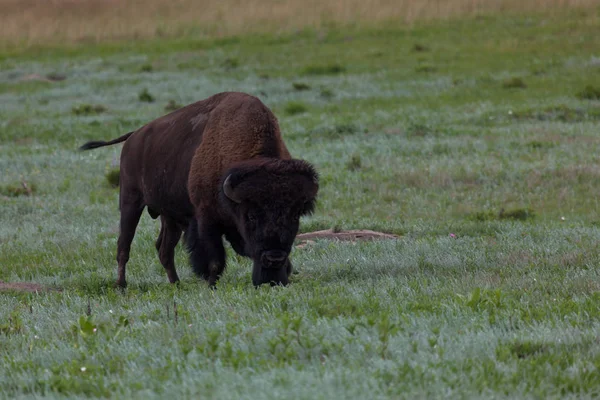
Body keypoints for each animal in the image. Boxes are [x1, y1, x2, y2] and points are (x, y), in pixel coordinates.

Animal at [79, 92, 318, 288]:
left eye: (295, 215)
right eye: (251, 216)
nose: (274, 258)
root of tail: (133, 137)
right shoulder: (206, 220)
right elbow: (214, 260)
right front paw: (211, 285)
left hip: (170, 217)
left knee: (164, 249)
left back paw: (176, 284)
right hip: (130, 202)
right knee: (124, 246)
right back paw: (121, 285)